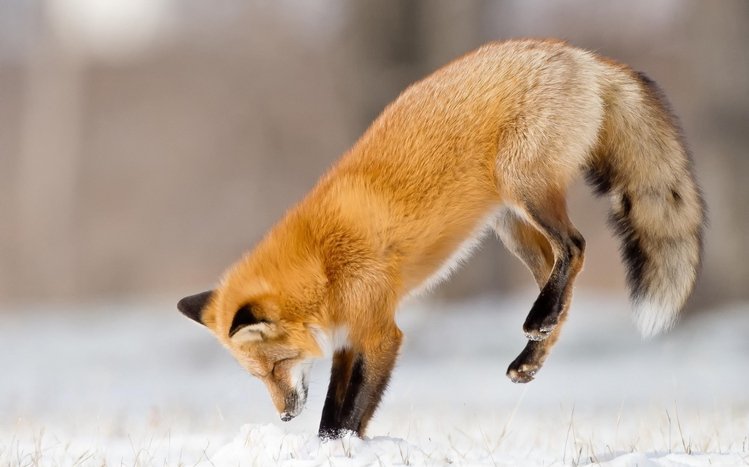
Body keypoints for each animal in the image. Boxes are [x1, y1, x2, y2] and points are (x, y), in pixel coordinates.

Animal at [177, 39, 704, 439]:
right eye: (257, 376)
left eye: (274, 367)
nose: (284, 416)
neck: (323, 262)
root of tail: (577, 53)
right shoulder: (350, 337)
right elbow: (333, 410)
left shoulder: (380, 332)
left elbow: (347, 415)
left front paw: (342, 446)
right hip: (511, 224)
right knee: (563, 274)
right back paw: (532, 354)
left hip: (523, 186)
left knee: (575, 246)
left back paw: (539, 319)